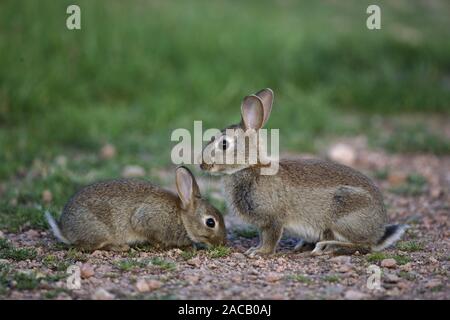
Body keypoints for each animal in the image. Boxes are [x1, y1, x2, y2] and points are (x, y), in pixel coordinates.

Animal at [46, 166, 225, 251]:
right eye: (210, 222)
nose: (224, 243)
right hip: (98, 231)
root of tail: (65, 230)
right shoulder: (145, 220)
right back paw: (120, 247)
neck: (182, 218)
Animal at [200, 89, 404, 256]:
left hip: (345, 219)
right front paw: (255, 249)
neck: (249, 166)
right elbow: (263, 236)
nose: (202, 165)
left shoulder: (273, 218)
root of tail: (378, 229)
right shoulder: (263, 223)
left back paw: (327, 247)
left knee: (364, 245)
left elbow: (270, 237)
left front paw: (259, 252)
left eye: (224, 144)